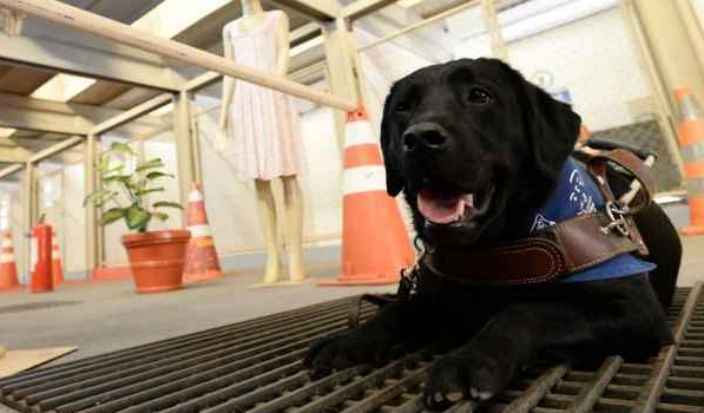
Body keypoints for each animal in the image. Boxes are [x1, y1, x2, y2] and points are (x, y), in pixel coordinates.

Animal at [306, 58, 680, 408]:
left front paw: (469, 360)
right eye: (403, 107)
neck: (491, 250)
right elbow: (397, 310)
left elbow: (523, 311)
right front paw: (349, 340)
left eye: (480, 96)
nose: (420, 138)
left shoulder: (636, 309)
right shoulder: (434, 297)